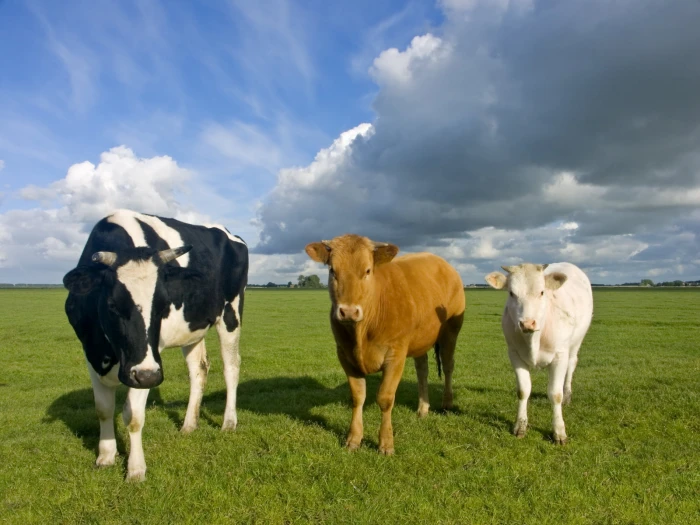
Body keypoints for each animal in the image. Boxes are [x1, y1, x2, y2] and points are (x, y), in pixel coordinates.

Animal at [63, 209, 248, 481]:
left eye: (162, 307)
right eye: (112, 305)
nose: (148, 377)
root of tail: (227, 232)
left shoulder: (148, 363)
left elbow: (133, 415)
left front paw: (136, 469)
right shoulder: (90, 352)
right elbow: (103, 408)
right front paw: (105, 456)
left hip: (231, 313)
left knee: (231, 368)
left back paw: (228, 423)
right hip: (192, 328)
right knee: (199, 369)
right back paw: (189, 425)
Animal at [305, 234, 465, 455]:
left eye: (367, 270)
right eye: (332, 271)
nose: (348, 311)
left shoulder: (395, 355)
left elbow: (385, 398)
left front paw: (386, 443)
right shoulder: (345, 355)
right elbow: (357, 397)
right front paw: (354, 439)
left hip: (451, 331)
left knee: (448, 365)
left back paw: (447, 403)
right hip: (419, 339)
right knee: (422, 370)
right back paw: (423, 408)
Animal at [485, 263, 593, 444]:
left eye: (542, 292)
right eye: (511, 293)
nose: (527, 323)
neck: (533, 340)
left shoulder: (559, 355)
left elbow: (555, 394)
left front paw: (559, 432)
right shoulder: (514, 354)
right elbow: (523, 390)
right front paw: (520, 426)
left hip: (576, 341)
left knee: (571, 365)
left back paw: (568, 395)